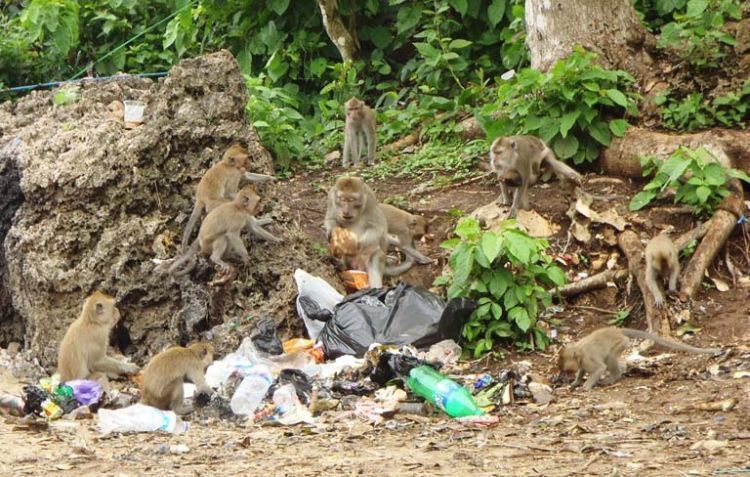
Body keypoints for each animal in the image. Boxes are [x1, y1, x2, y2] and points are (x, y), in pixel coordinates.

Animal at [560, 328, 724, 390]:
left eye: (566, 370)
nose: (562, 376)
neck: (579, 353)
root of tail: (618, 330)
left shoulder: (588, 360)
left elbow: (600, 368)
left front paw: (586, 386)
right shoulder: (583, 363)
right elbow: (582, 370)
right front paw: (576, 382)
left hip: (621, 342)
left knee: (610, 358)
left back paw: (614, 377)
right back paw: (622, 370)